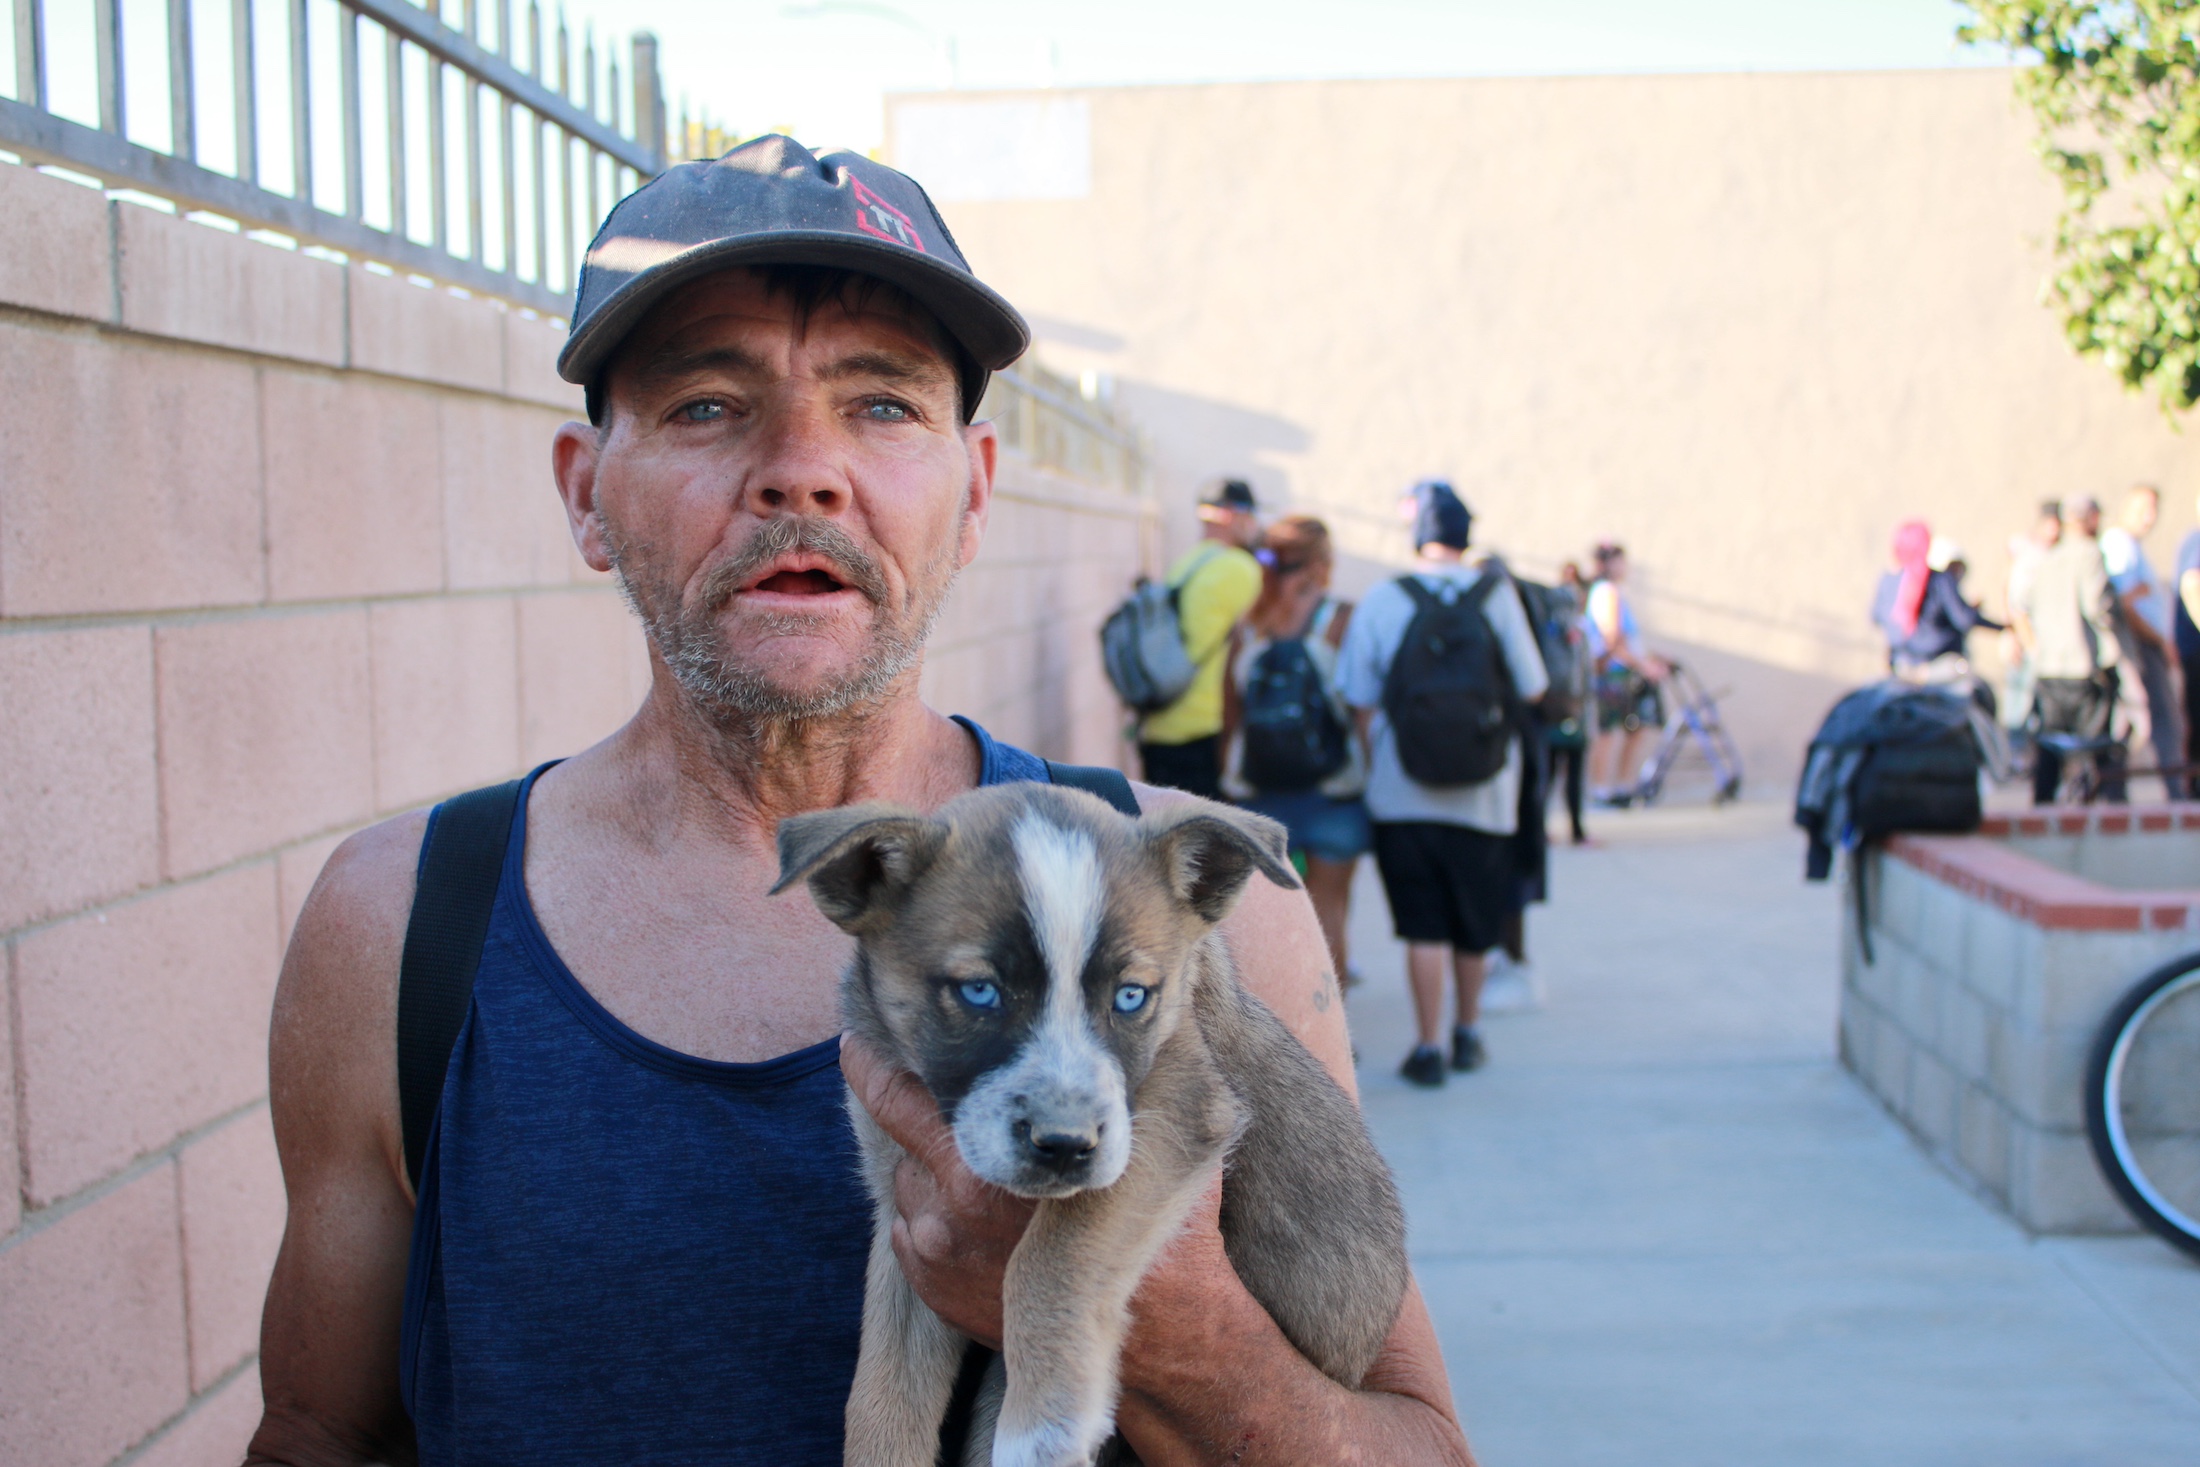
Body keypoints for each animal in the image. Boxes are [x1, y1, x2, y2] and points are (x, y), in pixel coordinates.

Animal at [772, 783, 1409, 1467]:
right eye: (979, 992)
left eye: (1131, 997)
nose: (1064, 1146)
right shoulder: (902, 1204)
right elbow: (881, 1390)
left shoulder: (1175, 1111)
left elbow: (1052, 1254)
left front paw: (1042, 1424)